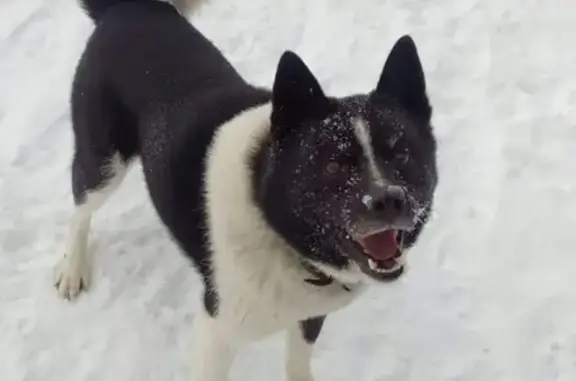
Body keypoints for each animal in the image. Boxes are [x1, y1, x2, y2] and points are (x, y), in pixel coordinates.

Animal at [54, 0, 438, 378]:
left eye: (402, 154)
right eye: (332, 166)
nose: (388, 200)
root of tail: (127, 8)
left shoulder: (308, 315)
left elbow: (298, 362)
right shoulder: (218, 331)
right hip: (104, 161)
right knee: (79, 210)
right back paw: (72, 270)